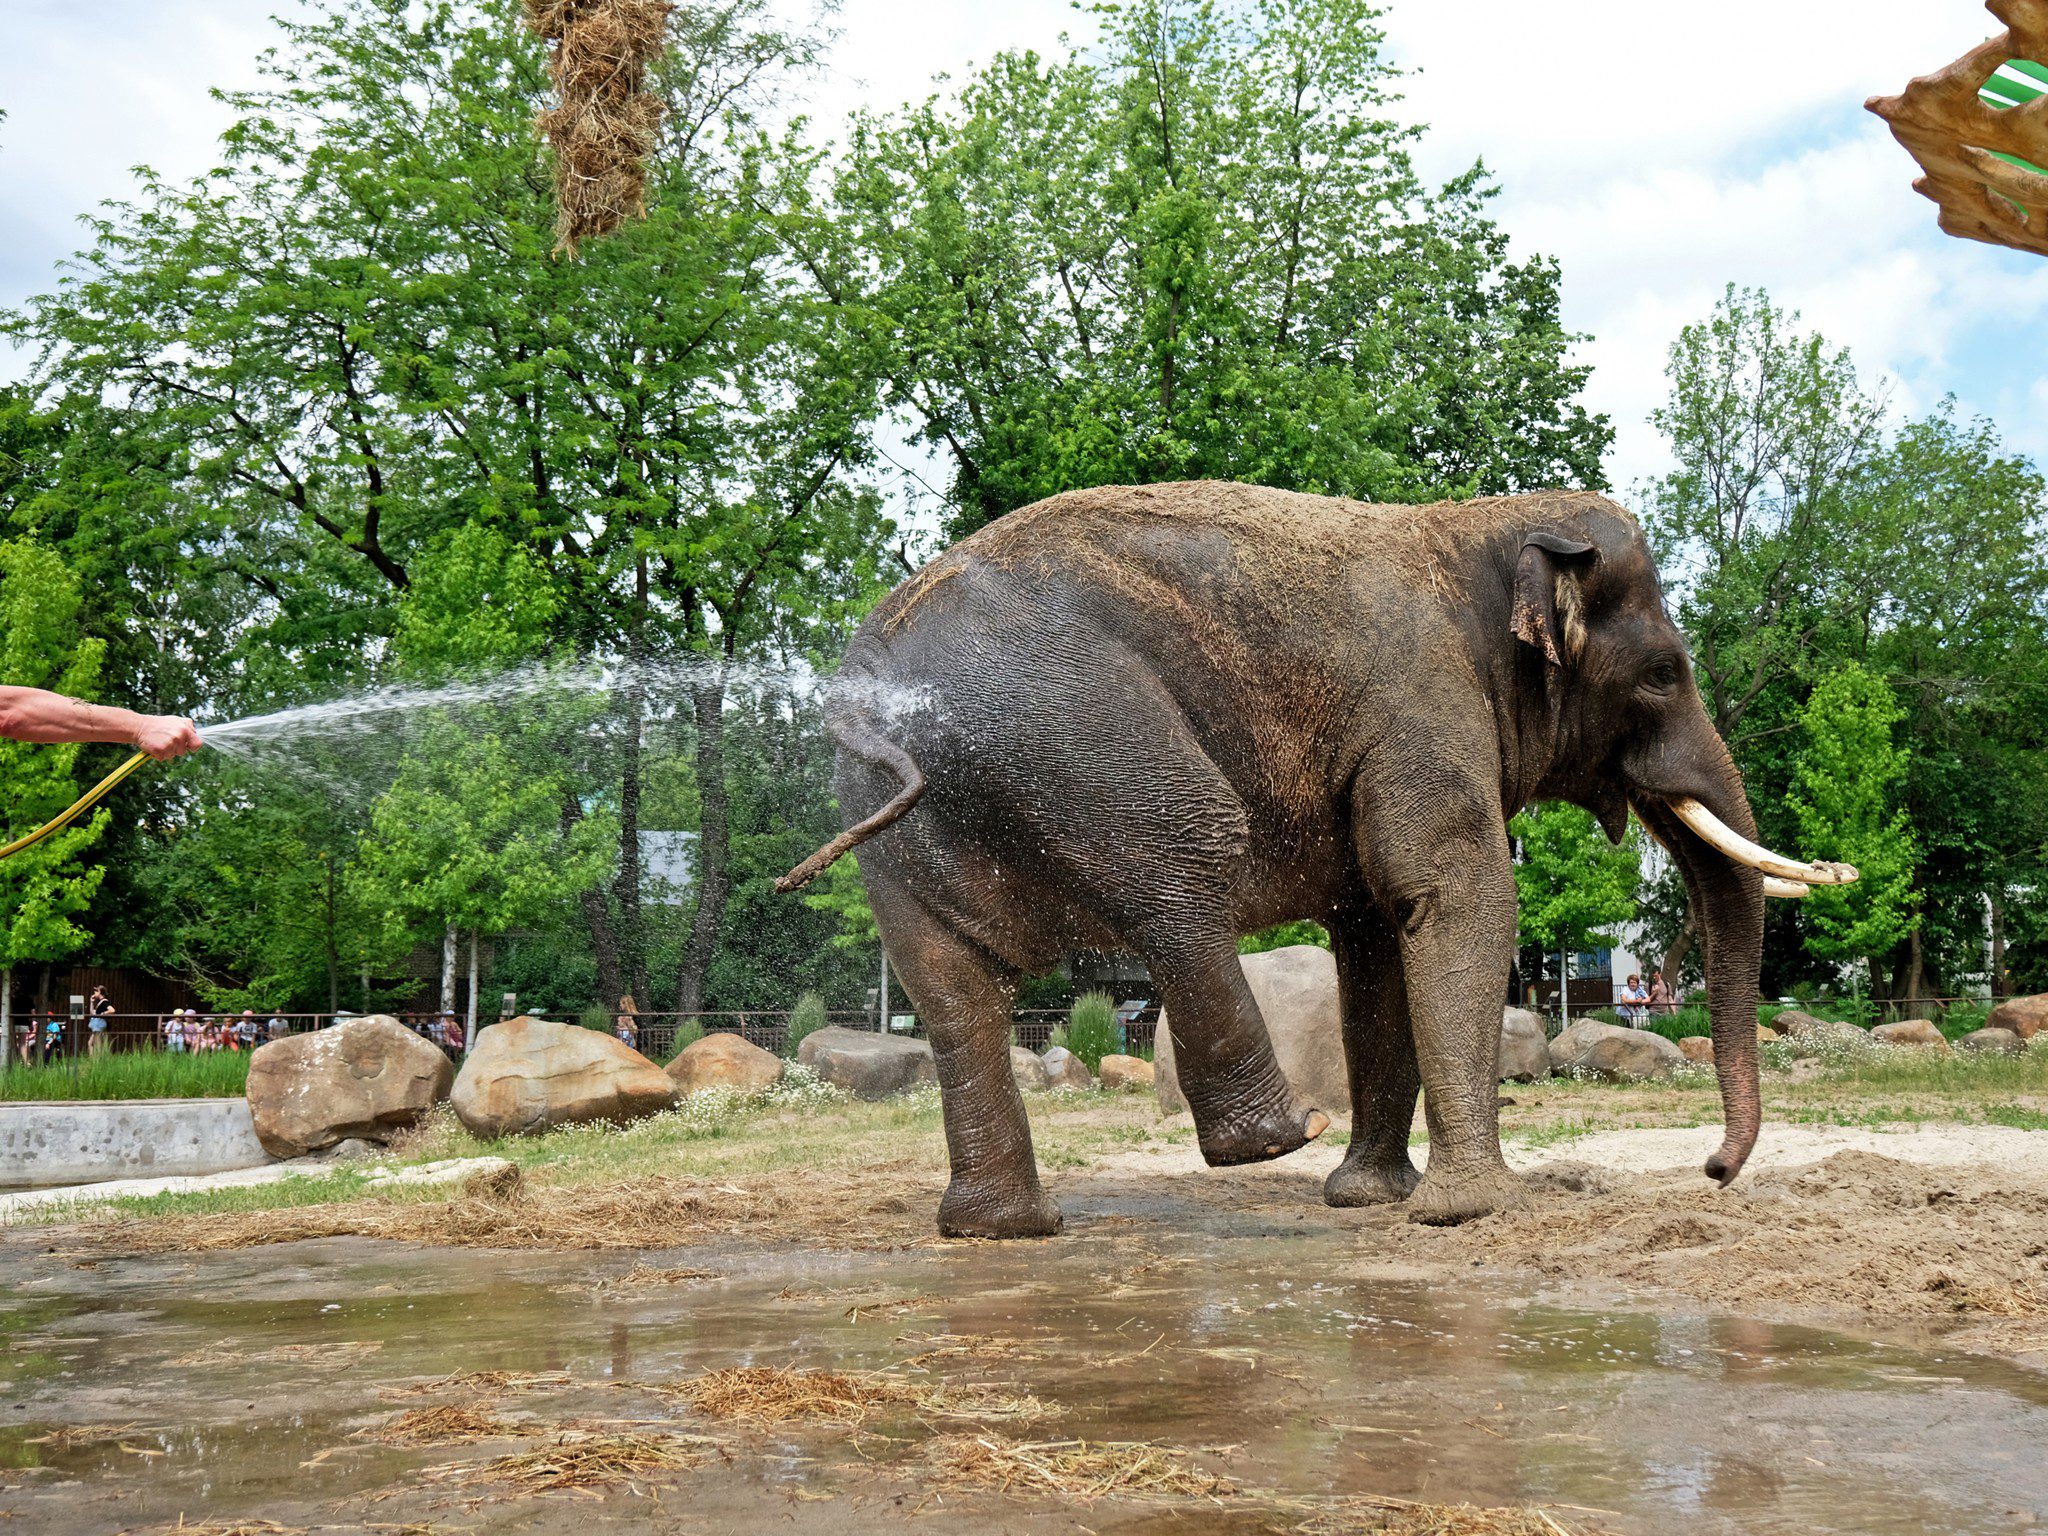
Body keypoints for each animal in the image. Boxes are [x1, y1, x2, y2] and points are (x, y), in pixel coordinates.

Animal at [770, 487, 1859, 1245]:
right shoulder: (1420, 701)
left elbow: (1376, 932)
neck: (1476, 528)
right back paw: (1274, 1137)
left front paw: (1370, 1199)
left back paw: (1003, 1230)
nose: (1713, 1170)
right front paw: (1473, 1212)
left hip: (895, 822)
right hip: (1074, 727)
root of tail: (869, 689)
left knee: (951, 990)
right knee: (1186, 862)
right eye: (1665, 675)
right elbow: (1454, 896)